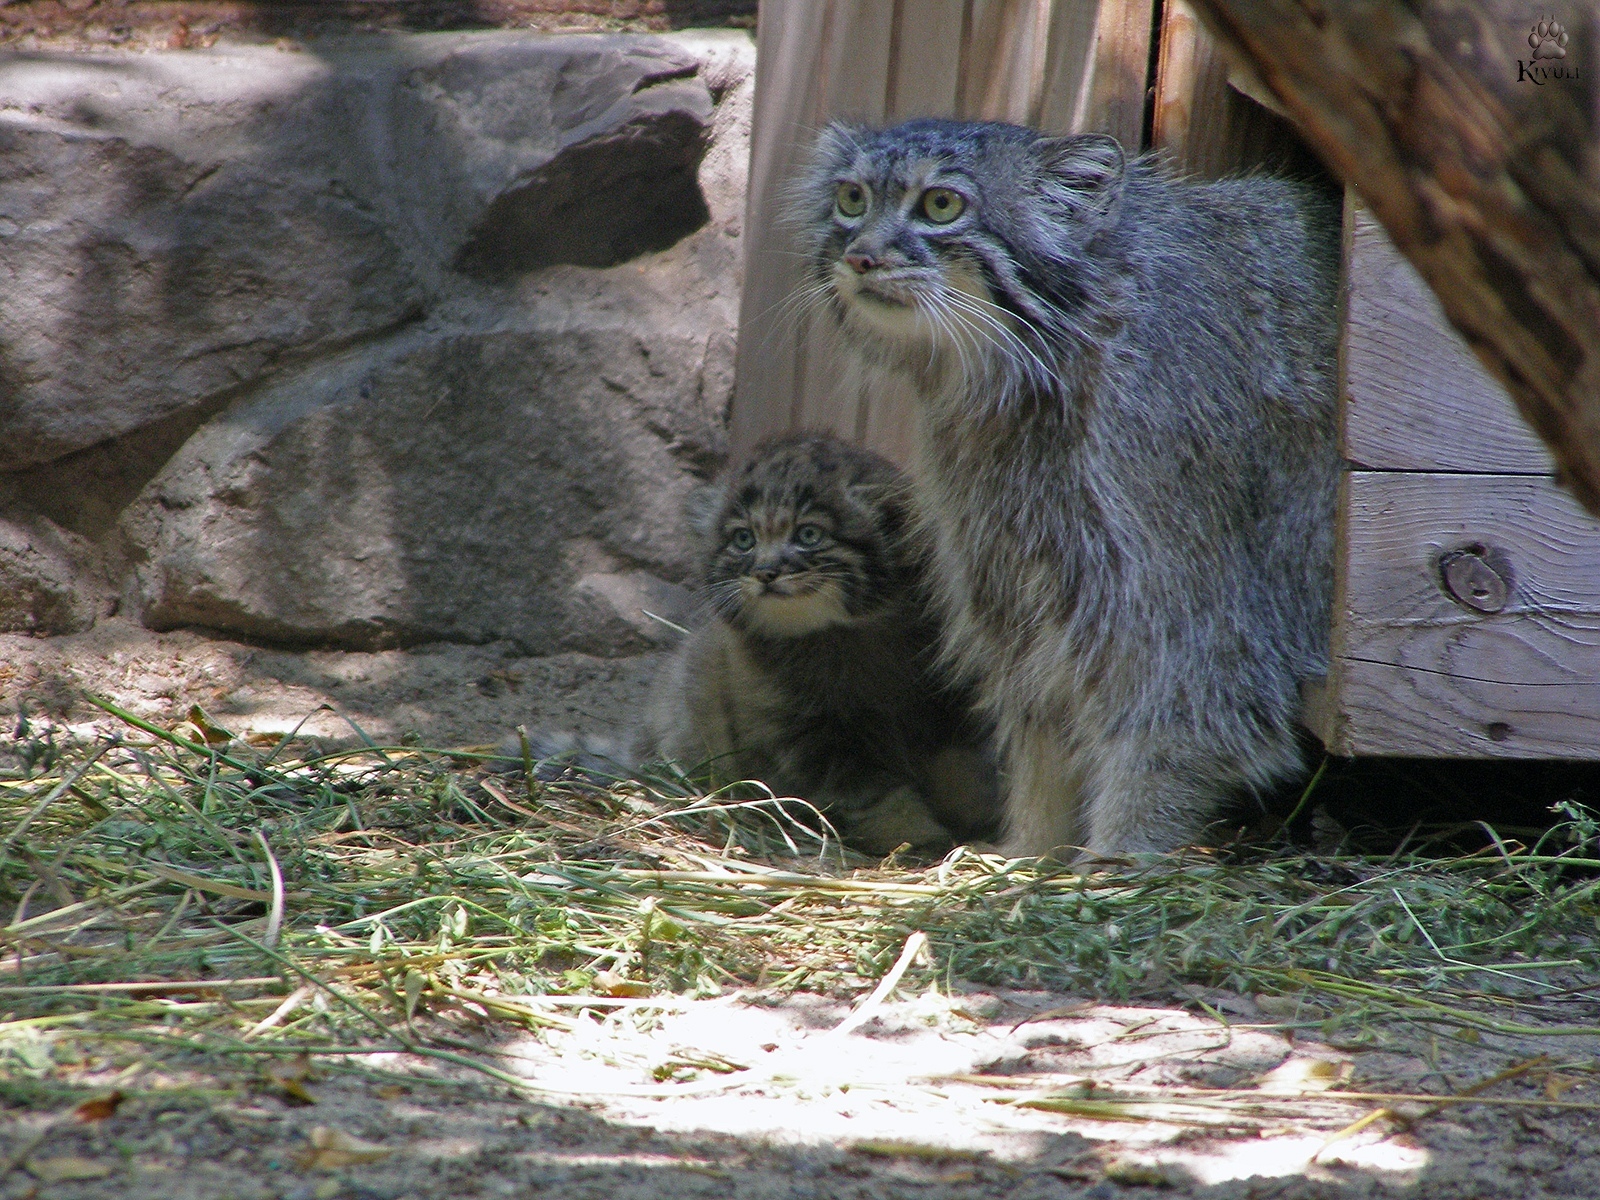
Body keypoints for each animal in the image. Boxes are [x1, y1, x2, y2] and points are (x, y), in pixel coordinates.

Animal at [630, 432, 992, 857]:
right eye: (743, 539)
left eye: (808, 535)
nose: (765, 572)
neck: (847, 636)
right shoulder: (813, 733)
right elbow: (872, 795)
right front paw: (914, 837)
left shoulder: (947, 703)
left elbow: (961, 768)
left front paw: (981, 818)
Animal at [796, 120, 1337, 864]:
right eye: (851, 198)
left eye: (941, 205)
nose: (860, 257)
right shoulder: (1005, 550)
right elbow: (1040, 715)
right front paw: (1030, 847)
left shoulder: (1183, 578)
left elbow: (1185, 708)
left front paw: (1119, 852)